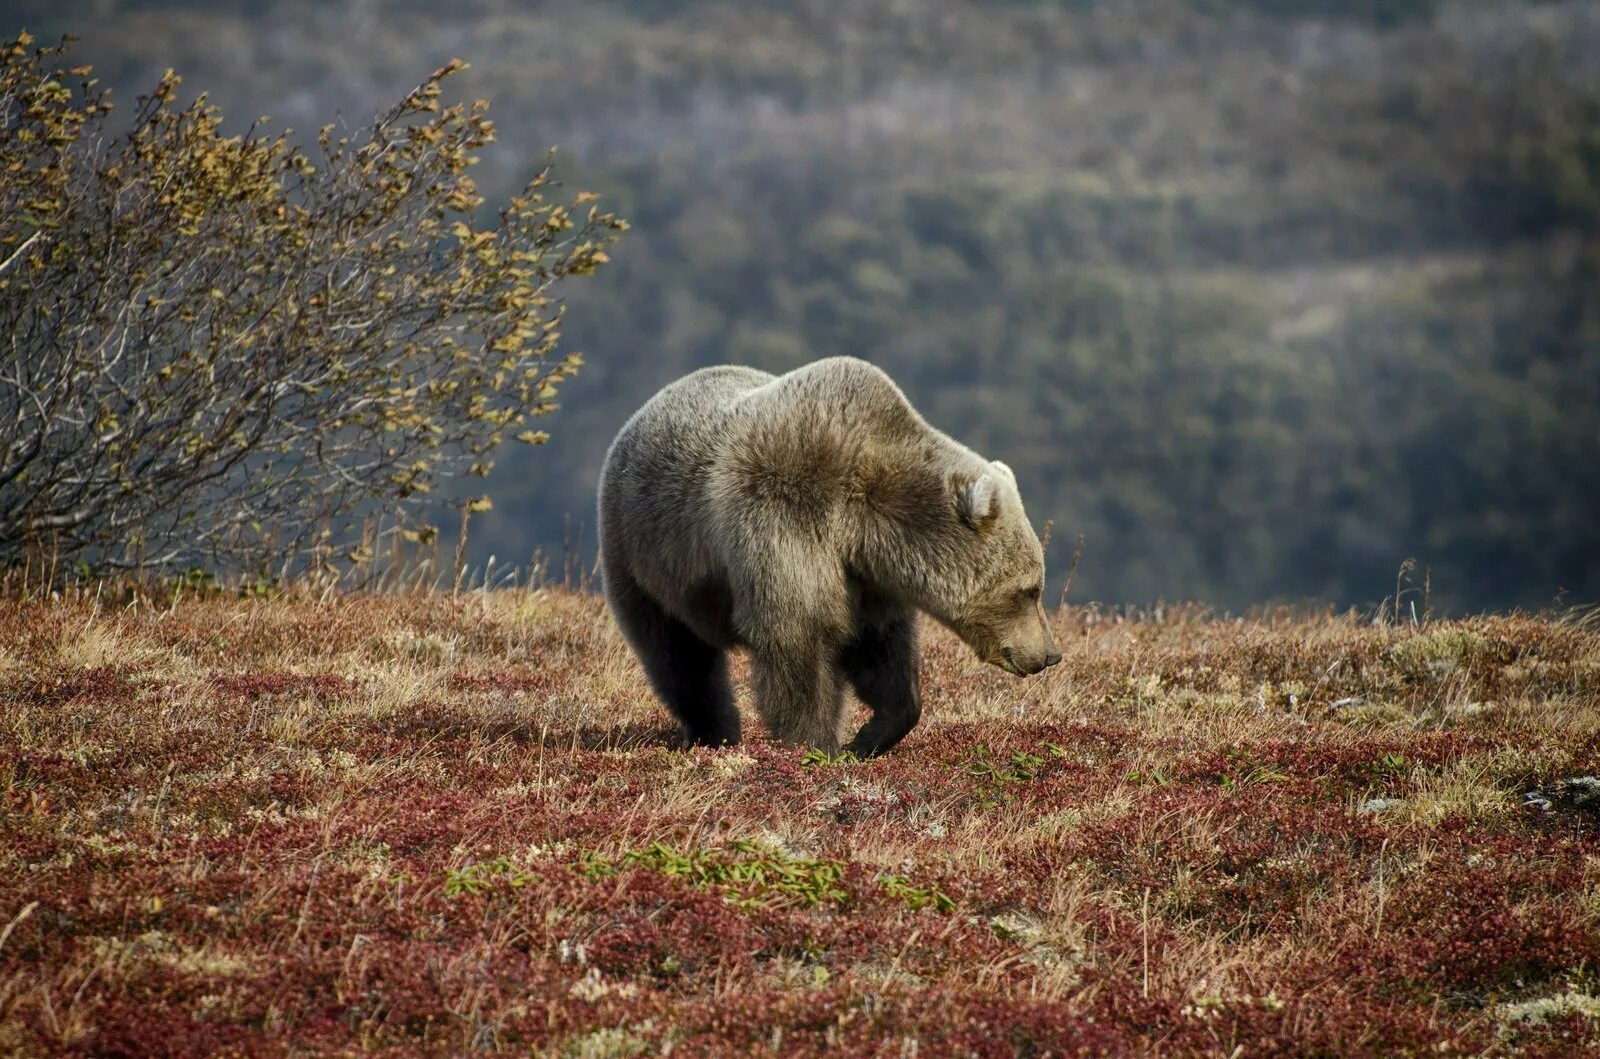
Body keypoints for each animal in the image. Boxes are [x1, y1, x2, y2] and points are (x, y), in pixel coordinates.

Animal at [595, 356, 1056, 755]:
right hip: (645, 555)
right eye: (1029, 590)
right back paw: (714, 732)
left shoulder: (865, 575)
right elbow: (800, 635)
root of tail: (639, 416)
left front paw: (870, 735)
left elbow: (880, 648)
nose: (1051, 655)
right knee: (678, 656)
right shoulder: (786, 517)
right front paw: (816, 744)